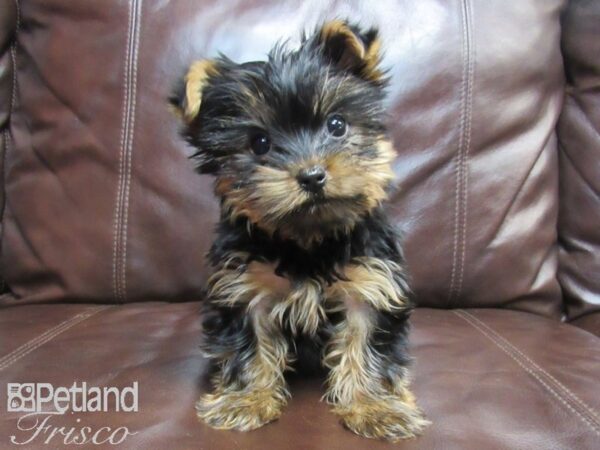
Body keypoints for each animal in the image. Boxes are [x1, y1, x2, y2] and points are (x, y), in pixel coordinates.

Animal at [171, 20, 428, 440]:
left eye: (337, 124)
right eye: (259, 143)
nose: (312, 175)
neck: (308, 241)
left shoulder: (370, 282)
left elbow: (365, 343)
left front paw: (374, 407)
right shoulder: (245, 287)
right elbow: (250, 346)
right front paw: (247, 399)